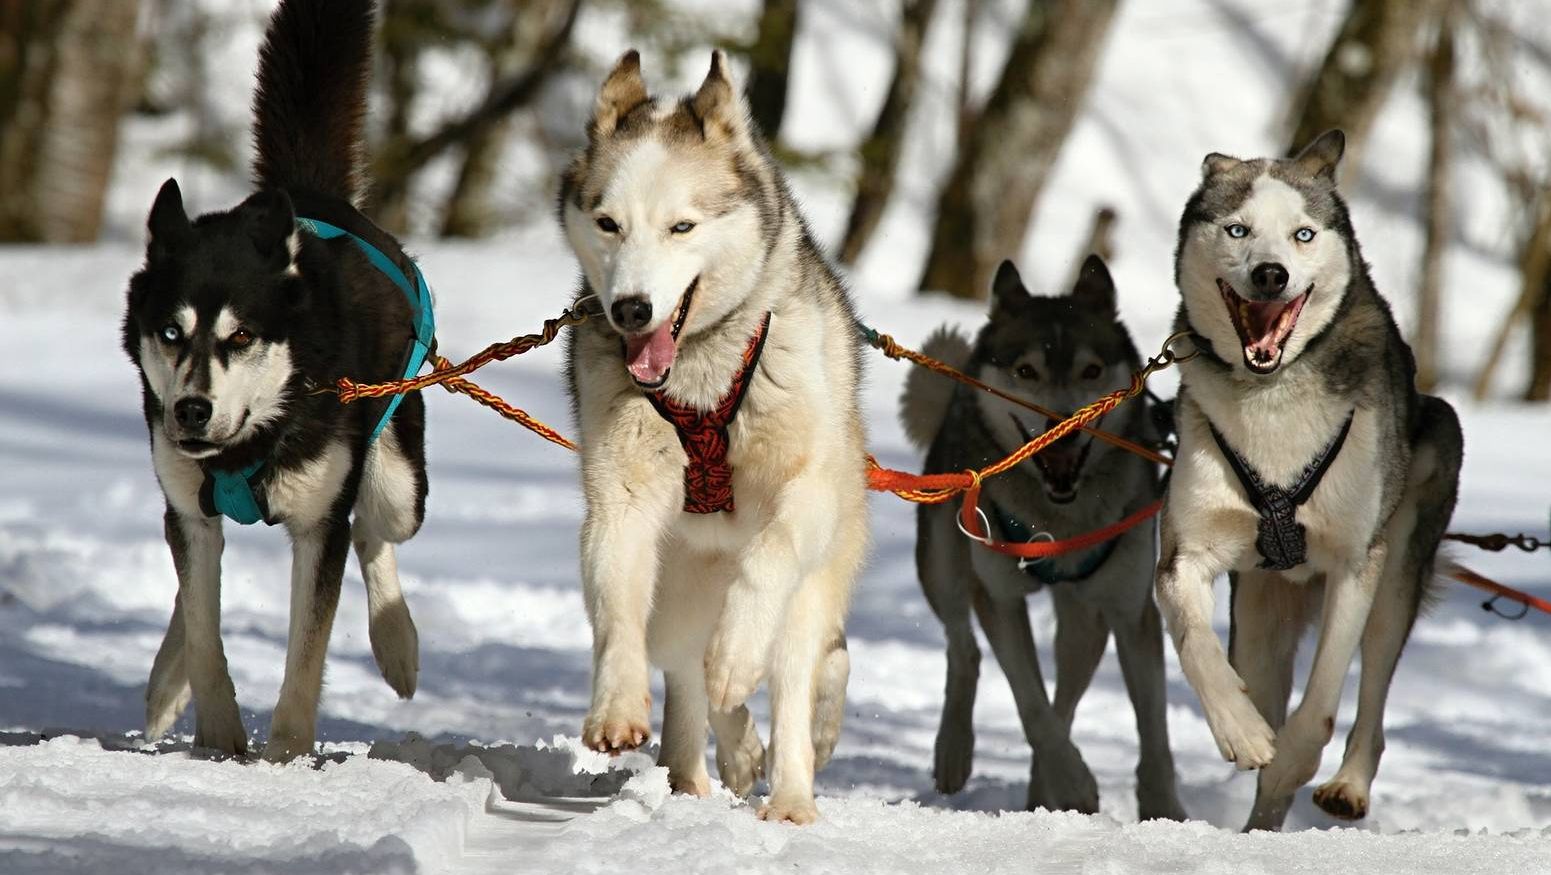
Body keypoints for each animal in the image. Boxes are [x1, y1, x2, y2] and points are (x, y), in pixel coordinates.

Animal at [899, 254, 1184, 819]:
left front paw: (1164, 810)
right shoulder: (1000, 598)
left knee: (1067, 695)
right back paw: (954, 752)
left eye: (1091, 371)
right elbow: (1030, 705)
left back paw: (1039, 792)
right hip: (943, 564)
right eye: (1025, 371)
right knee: (963, 649)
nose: (1065, 427)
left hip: (1086, 619)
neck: (1058, 519)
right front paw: (1073, 783)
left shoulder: (1130, 610)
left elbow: (1154, 730)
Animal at [1160, 127, 1457, 825]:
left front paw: (1294, 757)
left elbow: (1321, 705)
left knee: (1371, 693)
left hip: (1399, 566)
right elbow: (1195, 642)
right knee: (1260, 679)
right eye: (1238, 229)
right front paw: (1241, 730)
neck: (1273, 396)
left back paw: (1346, 784)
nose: (1271, 274)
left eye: (1302, 234)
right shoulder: (1186, 554)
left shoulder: (1355, 562)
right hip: (1259, 615)